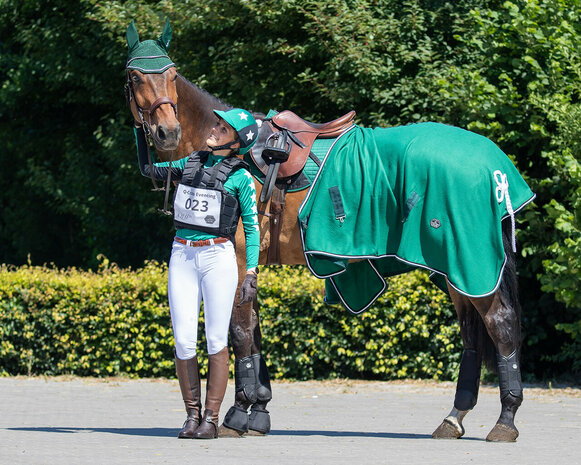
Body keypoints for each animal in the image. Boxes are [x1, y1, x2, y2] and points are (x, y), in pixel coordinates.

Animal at [125, 20, 532, 440]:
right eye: (134, 76)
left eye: (172, 75)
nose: (167, 131)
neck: (228, 147)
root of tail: (494, 167)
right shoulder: (249, 266)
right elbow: (254, 331)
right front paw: (259, 409)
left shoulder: (237, 257)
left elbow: (239, 333)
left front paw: (238, 414)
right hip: (454, 271)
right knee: (472, 334)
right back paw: (454, 417)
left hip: (470, 265)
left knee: (501, 325)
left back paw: (505, 420)